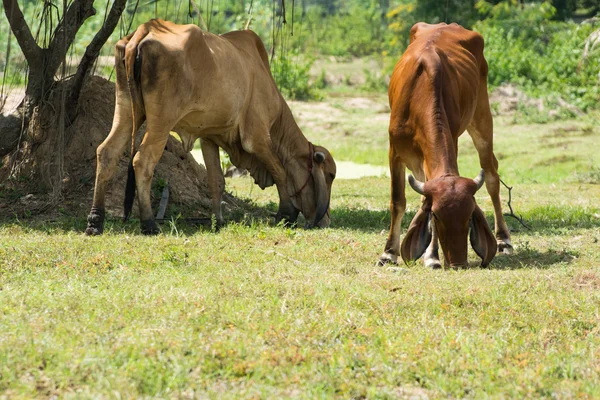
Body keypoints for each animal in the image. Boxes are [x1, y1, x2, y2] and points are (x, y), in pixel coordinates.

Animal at [85, 19, 338, 234]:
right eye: (330, 175)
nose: (325, 220)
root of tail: (144, 29)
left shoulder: (209, 137)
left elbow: (216, 180)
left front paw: (218, 221)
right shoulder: (257, 138)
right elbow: (281, 173)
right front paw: (286, 213)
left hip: (125, 108)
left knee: (106, 152)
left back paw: (95, 221)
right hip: (162, 120)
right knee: (142, 160)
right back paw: (148, 223)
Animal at [378, 22, 512, 268]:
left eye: (469, 217)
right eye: (436, 215)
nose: (458, 263)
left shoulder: (452, 142)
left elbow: (423, 197)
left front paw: (431, 256)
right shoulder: (395, 151)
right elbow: (398, 201)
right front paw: (389, 253)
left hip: (482, 116)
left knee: (491, 174)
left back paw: (503, 239)